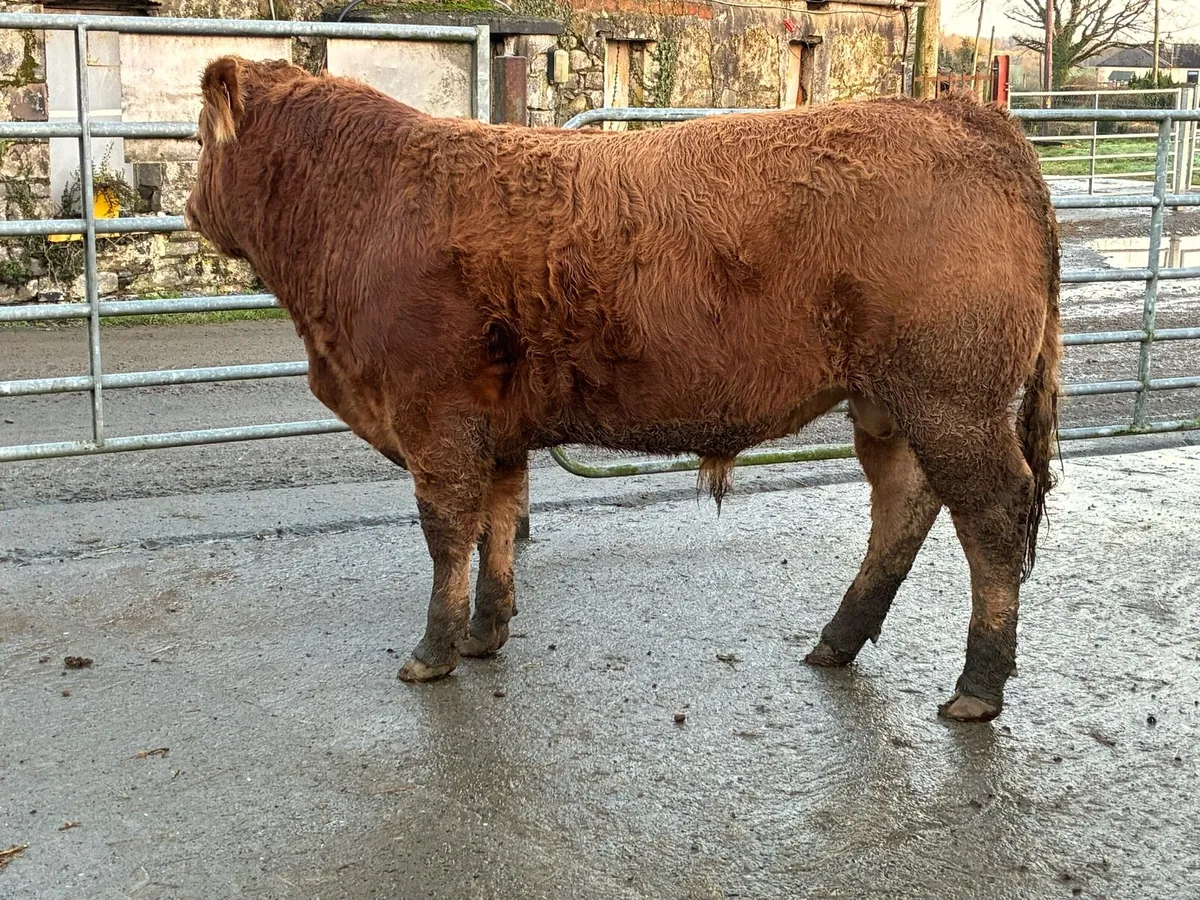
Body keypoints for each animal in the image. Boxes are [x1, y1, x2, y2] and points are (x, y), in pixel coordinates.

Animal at [185, 57, 1061, 722]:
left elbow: (445, 535)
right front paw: (485, 633)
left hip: (951, 399)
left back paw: (977, 688)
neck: (363, 210)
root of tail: (963, 113)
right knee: (904, 507)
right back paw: (837, 641)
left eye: (198, 137)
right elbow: (496, 525)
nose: (190, 208)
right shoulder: (496, 427)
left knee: (991, 518)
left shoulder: (436, 419)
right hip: (892, 406)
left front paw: (432, 651)